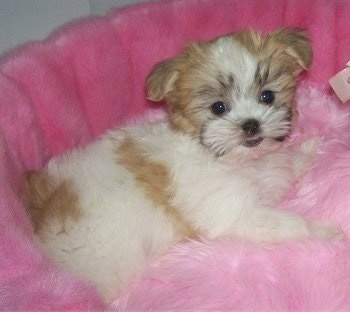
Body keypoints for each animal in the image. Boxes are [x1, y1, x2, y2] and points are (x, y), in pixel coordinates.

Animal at [24, 28, 342, 302]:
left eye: (267, 96)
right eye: (218, 108)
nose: (251, 124)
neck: (233, 159)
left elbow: (287, 169)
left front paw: (308, 149)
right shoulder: (235, 213)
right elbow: (290, 224)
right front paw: (326, 233)